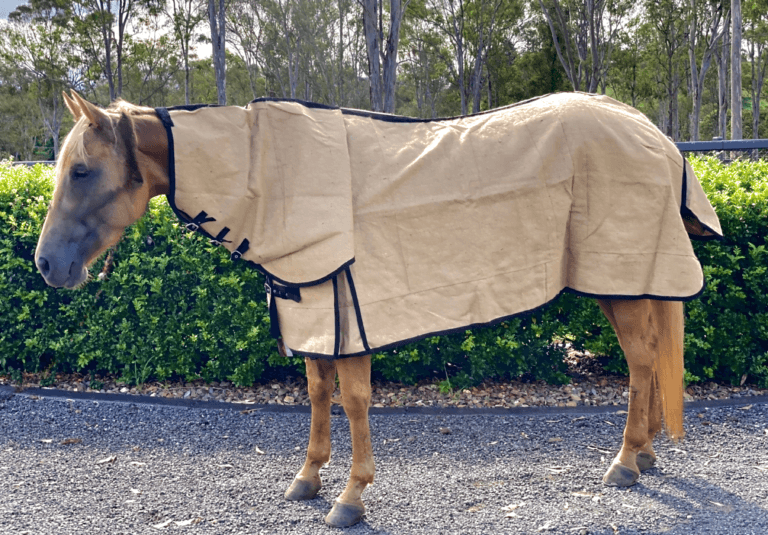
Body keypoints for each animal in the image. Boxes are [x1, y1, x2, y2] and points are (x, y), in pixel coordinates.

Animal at [34, 91, 720, 528]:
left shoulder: (345, 308)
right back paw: (647, 456)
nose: (46, 266)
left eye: (83, 171)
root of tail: (656, 137)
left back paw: (625, 463)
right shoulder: (310, 309)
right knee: (648, 358)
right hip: (631, 282)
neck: (269, 176)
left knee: (640, 361)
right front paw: (307, 479)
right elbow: (317, 394)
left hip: (621, 278)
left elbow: (355, 400)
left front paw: (350, 497)